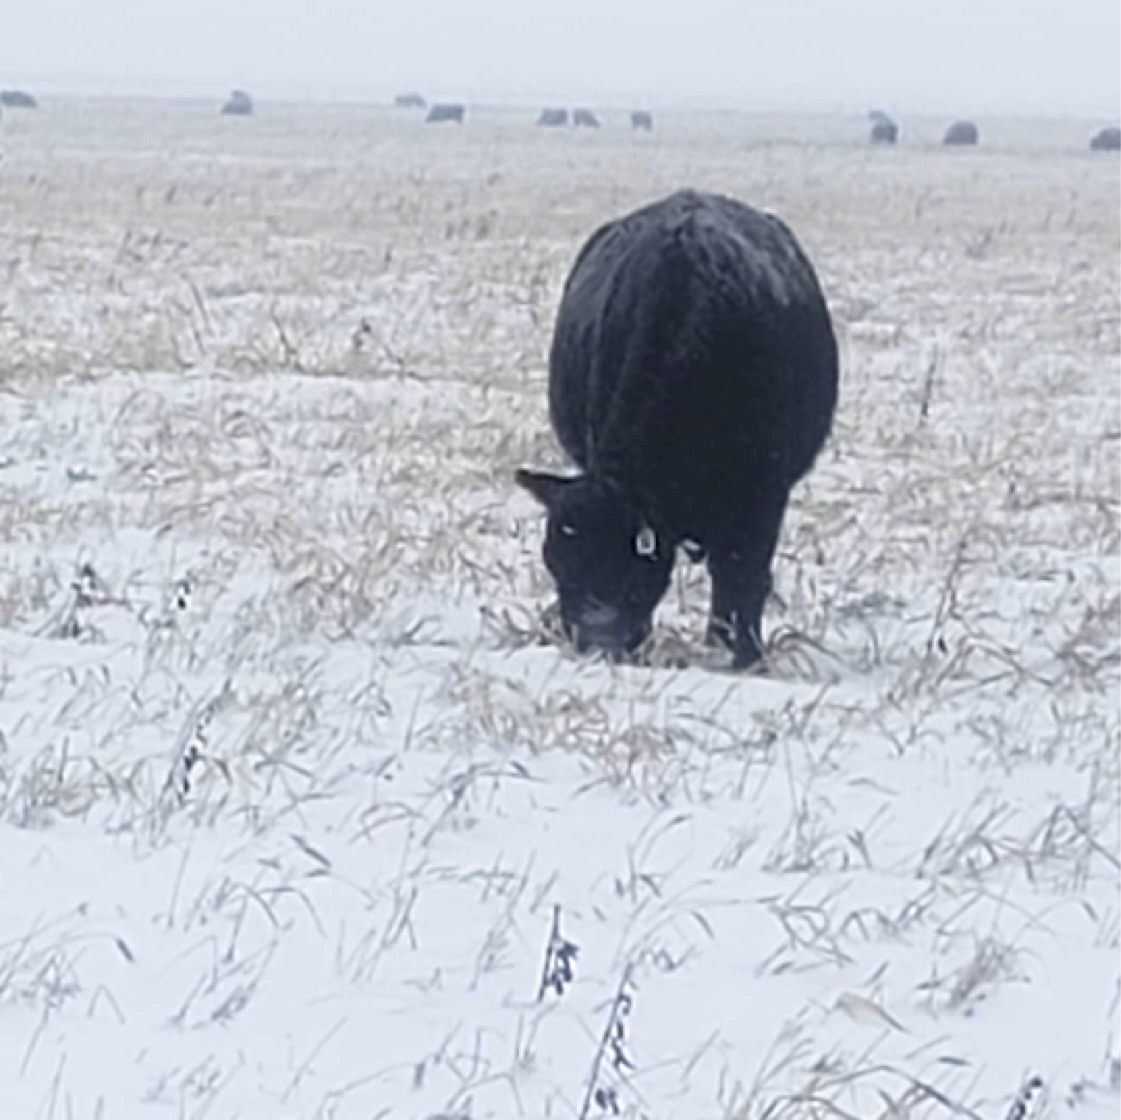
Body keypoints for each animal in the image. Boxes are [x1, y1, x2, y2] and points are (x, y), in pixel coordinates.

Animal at [516, 189, 839, 670]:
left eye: (629, 565)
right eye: (555, 563)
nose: (597, 641)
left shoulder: (764, 497)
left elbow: (743, 579)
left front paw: (743, 656)